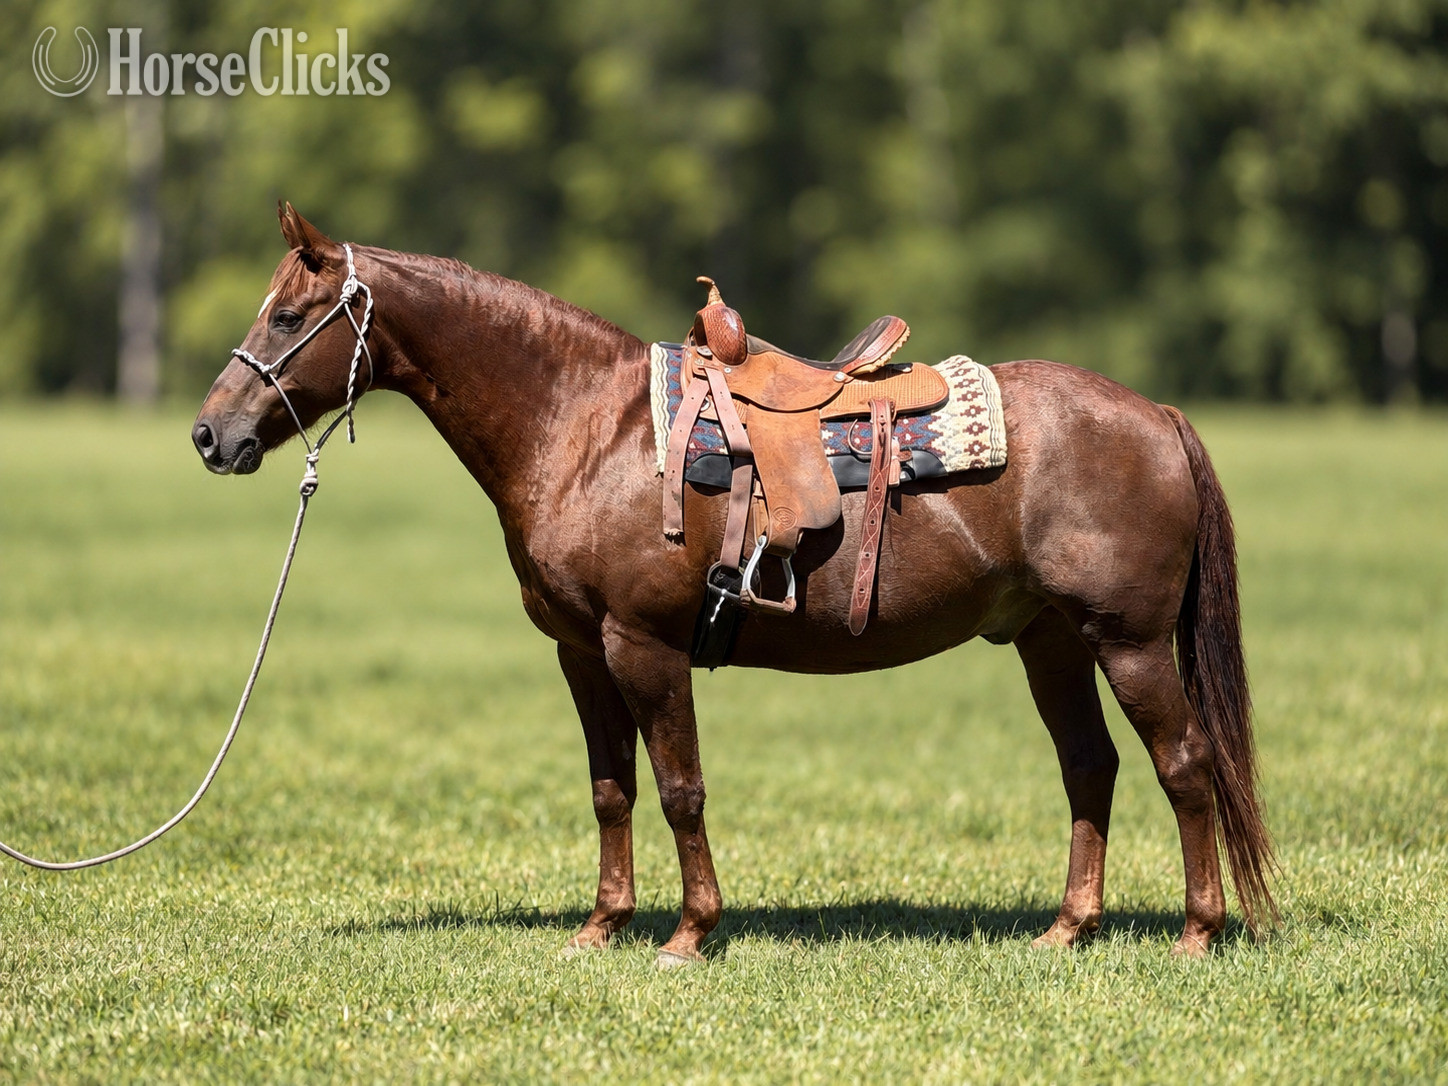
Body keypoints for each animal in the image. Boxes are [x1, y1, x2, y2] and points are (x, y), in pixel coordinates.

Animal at [193, 204, 1275, 964]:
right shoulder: (581, 652)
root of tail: (1157, 414)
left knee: (1183, 764)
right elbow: (611, 790)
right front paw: (602, 926)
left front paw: (688, 934)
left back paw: (1197, 931)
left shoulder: (644, 644)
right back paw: (1068, 929)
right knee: (1089, 765)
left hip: (1127, 641)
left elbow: (680, 788)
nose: (211, 433)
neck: (587, 428)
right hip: (1050, 639)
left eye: (288, 315)